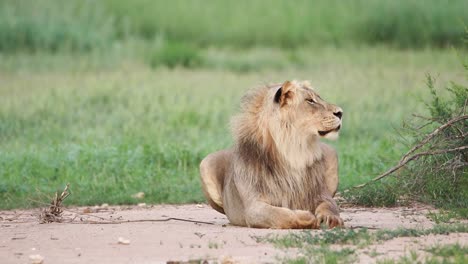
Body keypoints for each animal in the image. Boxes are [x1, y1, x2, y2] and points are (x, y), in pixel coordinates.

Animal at [198, 80, 344, 229]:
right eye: (310, 100)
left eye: (318, 98)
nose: (340, 113)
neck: (294, 151)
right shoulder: (253, 208)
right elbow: (282, 215)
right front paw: (307, 218)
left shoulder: (321, 194)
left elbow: (329, 206)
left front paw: (331, 219)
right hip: (205, 163)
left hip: (332, 152)